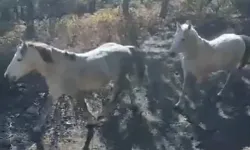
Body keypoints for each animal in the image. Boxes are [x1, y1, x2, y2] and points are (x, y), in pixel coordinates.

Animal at [3, 39, 145, 132]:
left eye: (19, 59)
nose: (6, 76)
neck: (58, 68)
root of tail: (126, 47)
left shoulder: (75, 92)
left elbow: (84, 108)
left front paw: (92, 122)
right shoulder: (54, 92)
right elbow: (45, 109)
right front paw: (37, 127)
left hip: (120, 77)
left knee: (122, 89)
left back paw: (106, 112)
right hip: (117, 78)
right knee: (124, 88)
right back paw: (128, 105)